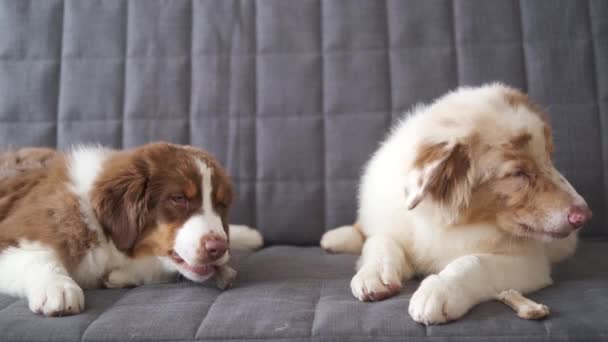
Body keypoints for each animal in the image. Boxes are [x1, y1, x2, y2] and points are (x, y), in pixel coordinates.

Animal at [320, 84, 592, 324]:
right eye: (518, 173)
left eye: (550, 159)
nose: (585, 215)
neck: (440, 220)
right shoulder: (391, 221)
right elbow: (380, 242)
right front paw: (375, 275)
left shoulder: (530, 261)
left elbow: (474, 262)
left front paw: (439, 290)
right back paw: (336, 238)